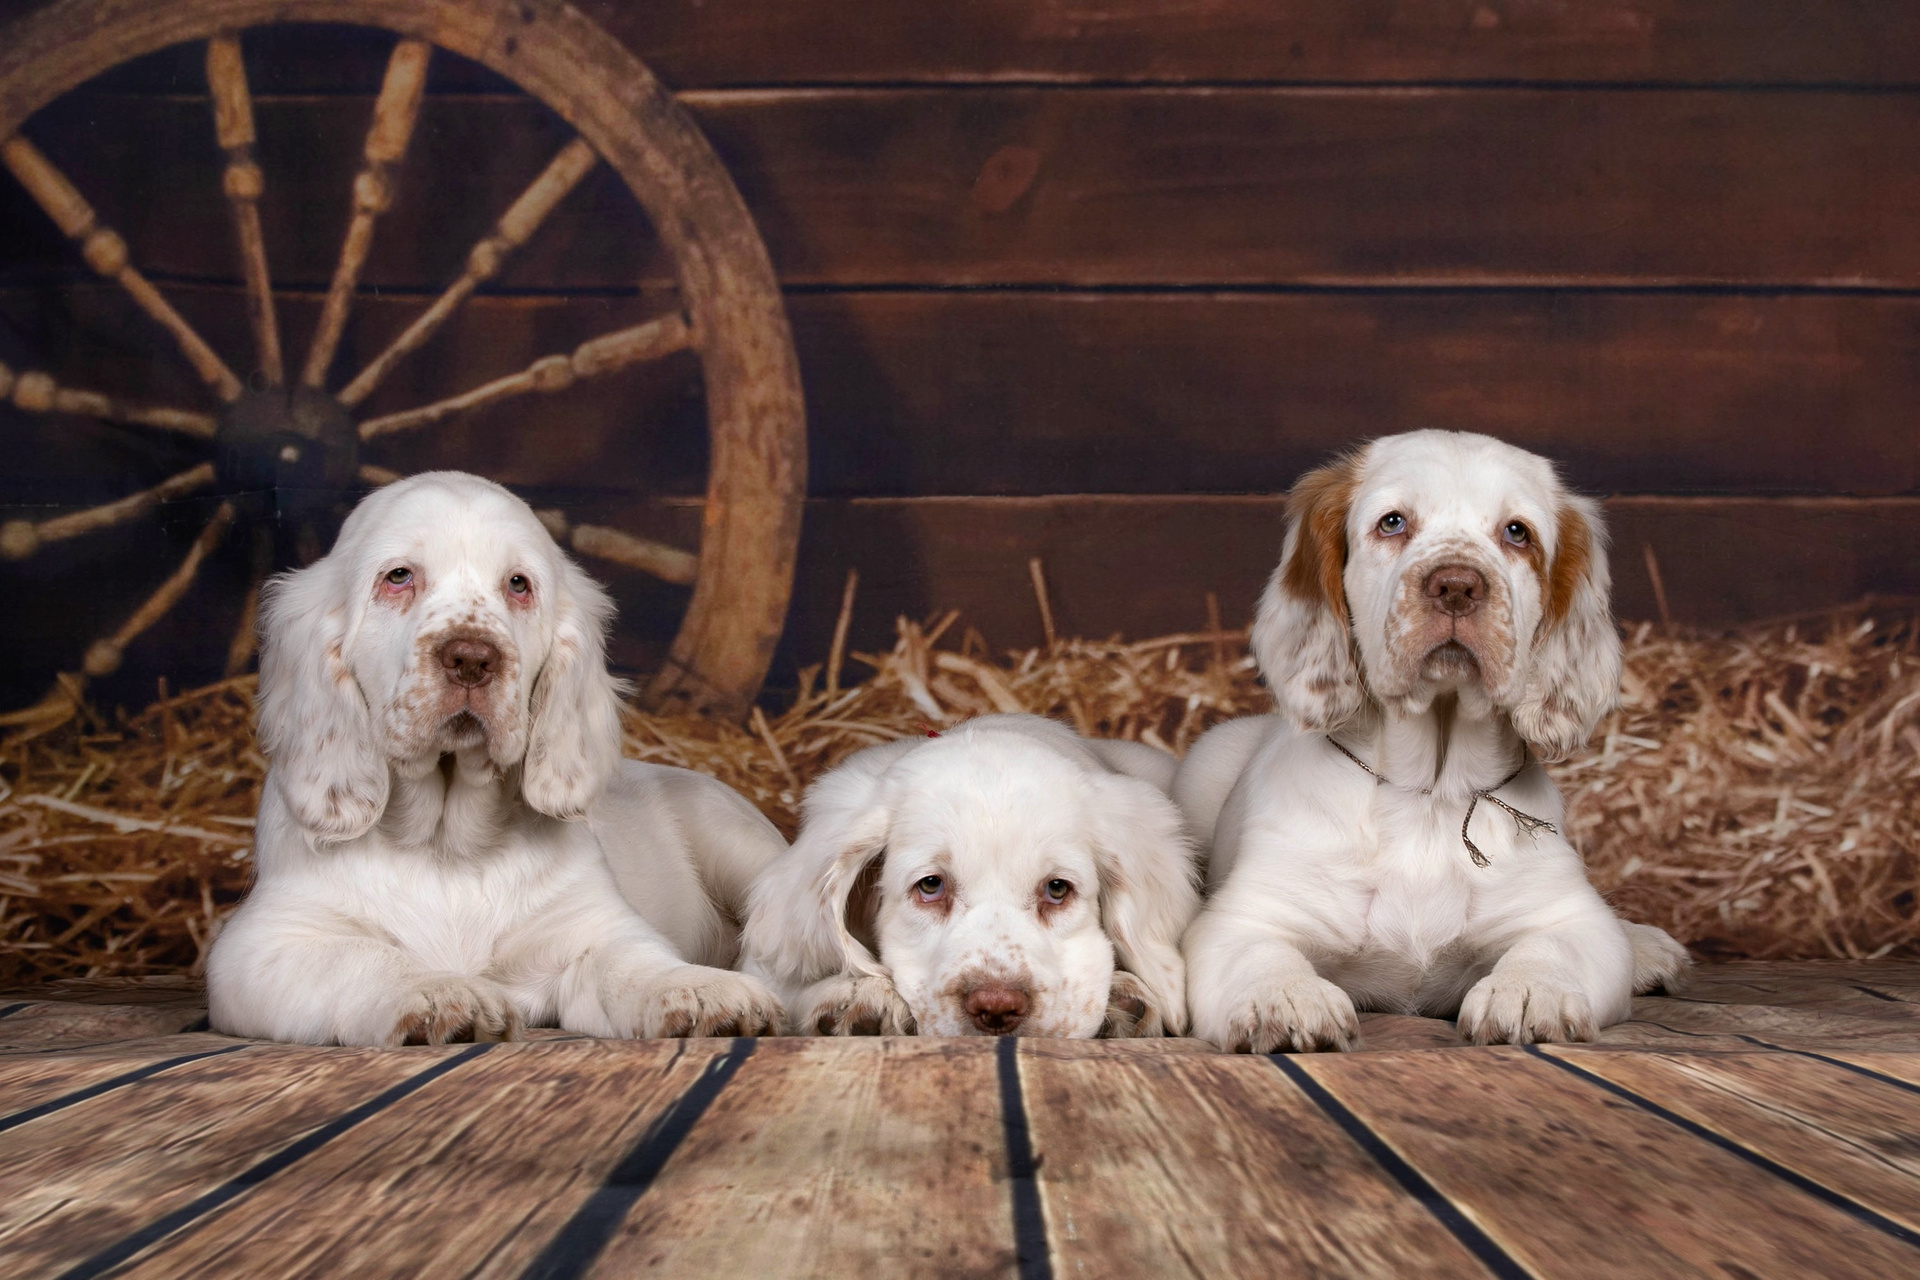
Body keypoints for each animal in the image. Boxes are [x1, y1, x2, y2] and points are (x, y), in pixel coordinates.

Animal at [206, 472, 786, 1045]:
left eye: (518, 585)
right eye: (398, 577)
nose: (471, 658)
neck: (446, 846)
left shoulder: (592, 928)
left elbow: (635, 962)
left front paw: (700, 989)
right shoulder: (262, 946)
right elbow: (360, 956)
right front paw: (440, 991)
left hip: (734, 840)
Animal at [1177, 431, 1690, 1052]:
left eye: (1517, 532)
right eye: (1393, 522)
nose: (1457, 586)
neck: (1430, 791)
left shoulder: (1567, 915)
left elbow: (1554, 944)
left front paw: (1526, 990)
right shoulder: (1247, 916)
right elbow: (1260, 953)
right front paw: (1285, 997)